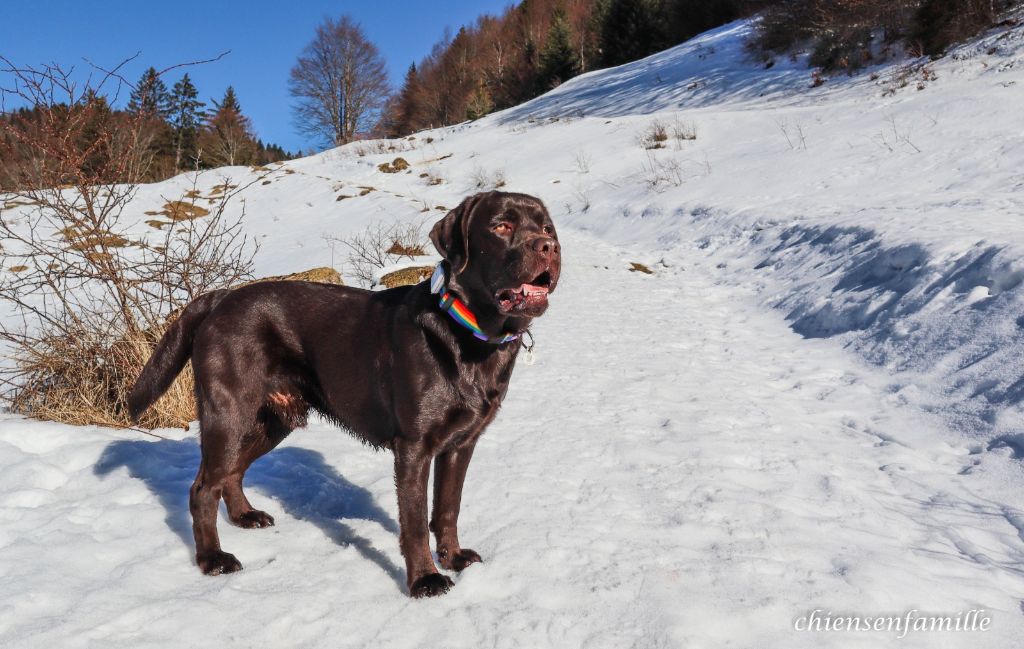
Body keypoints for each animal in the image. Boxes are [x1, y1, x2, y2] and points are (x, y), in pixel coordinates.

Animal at [129, 188, 565, 597]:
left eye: (546, 227)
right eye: (501, 226)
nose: (548, 247)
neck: (467, 334)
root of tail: (218, 297)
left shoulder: (461, 444)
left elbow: (447, 508)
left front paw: (454, 558)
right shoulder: (414, 447)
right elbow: (414, 522)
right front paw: (424, 580)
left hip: (271, 420)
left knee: (231, 473)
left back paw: (245, 517)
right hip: (229, 413)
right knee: (203, 488)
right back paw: (212, 559)